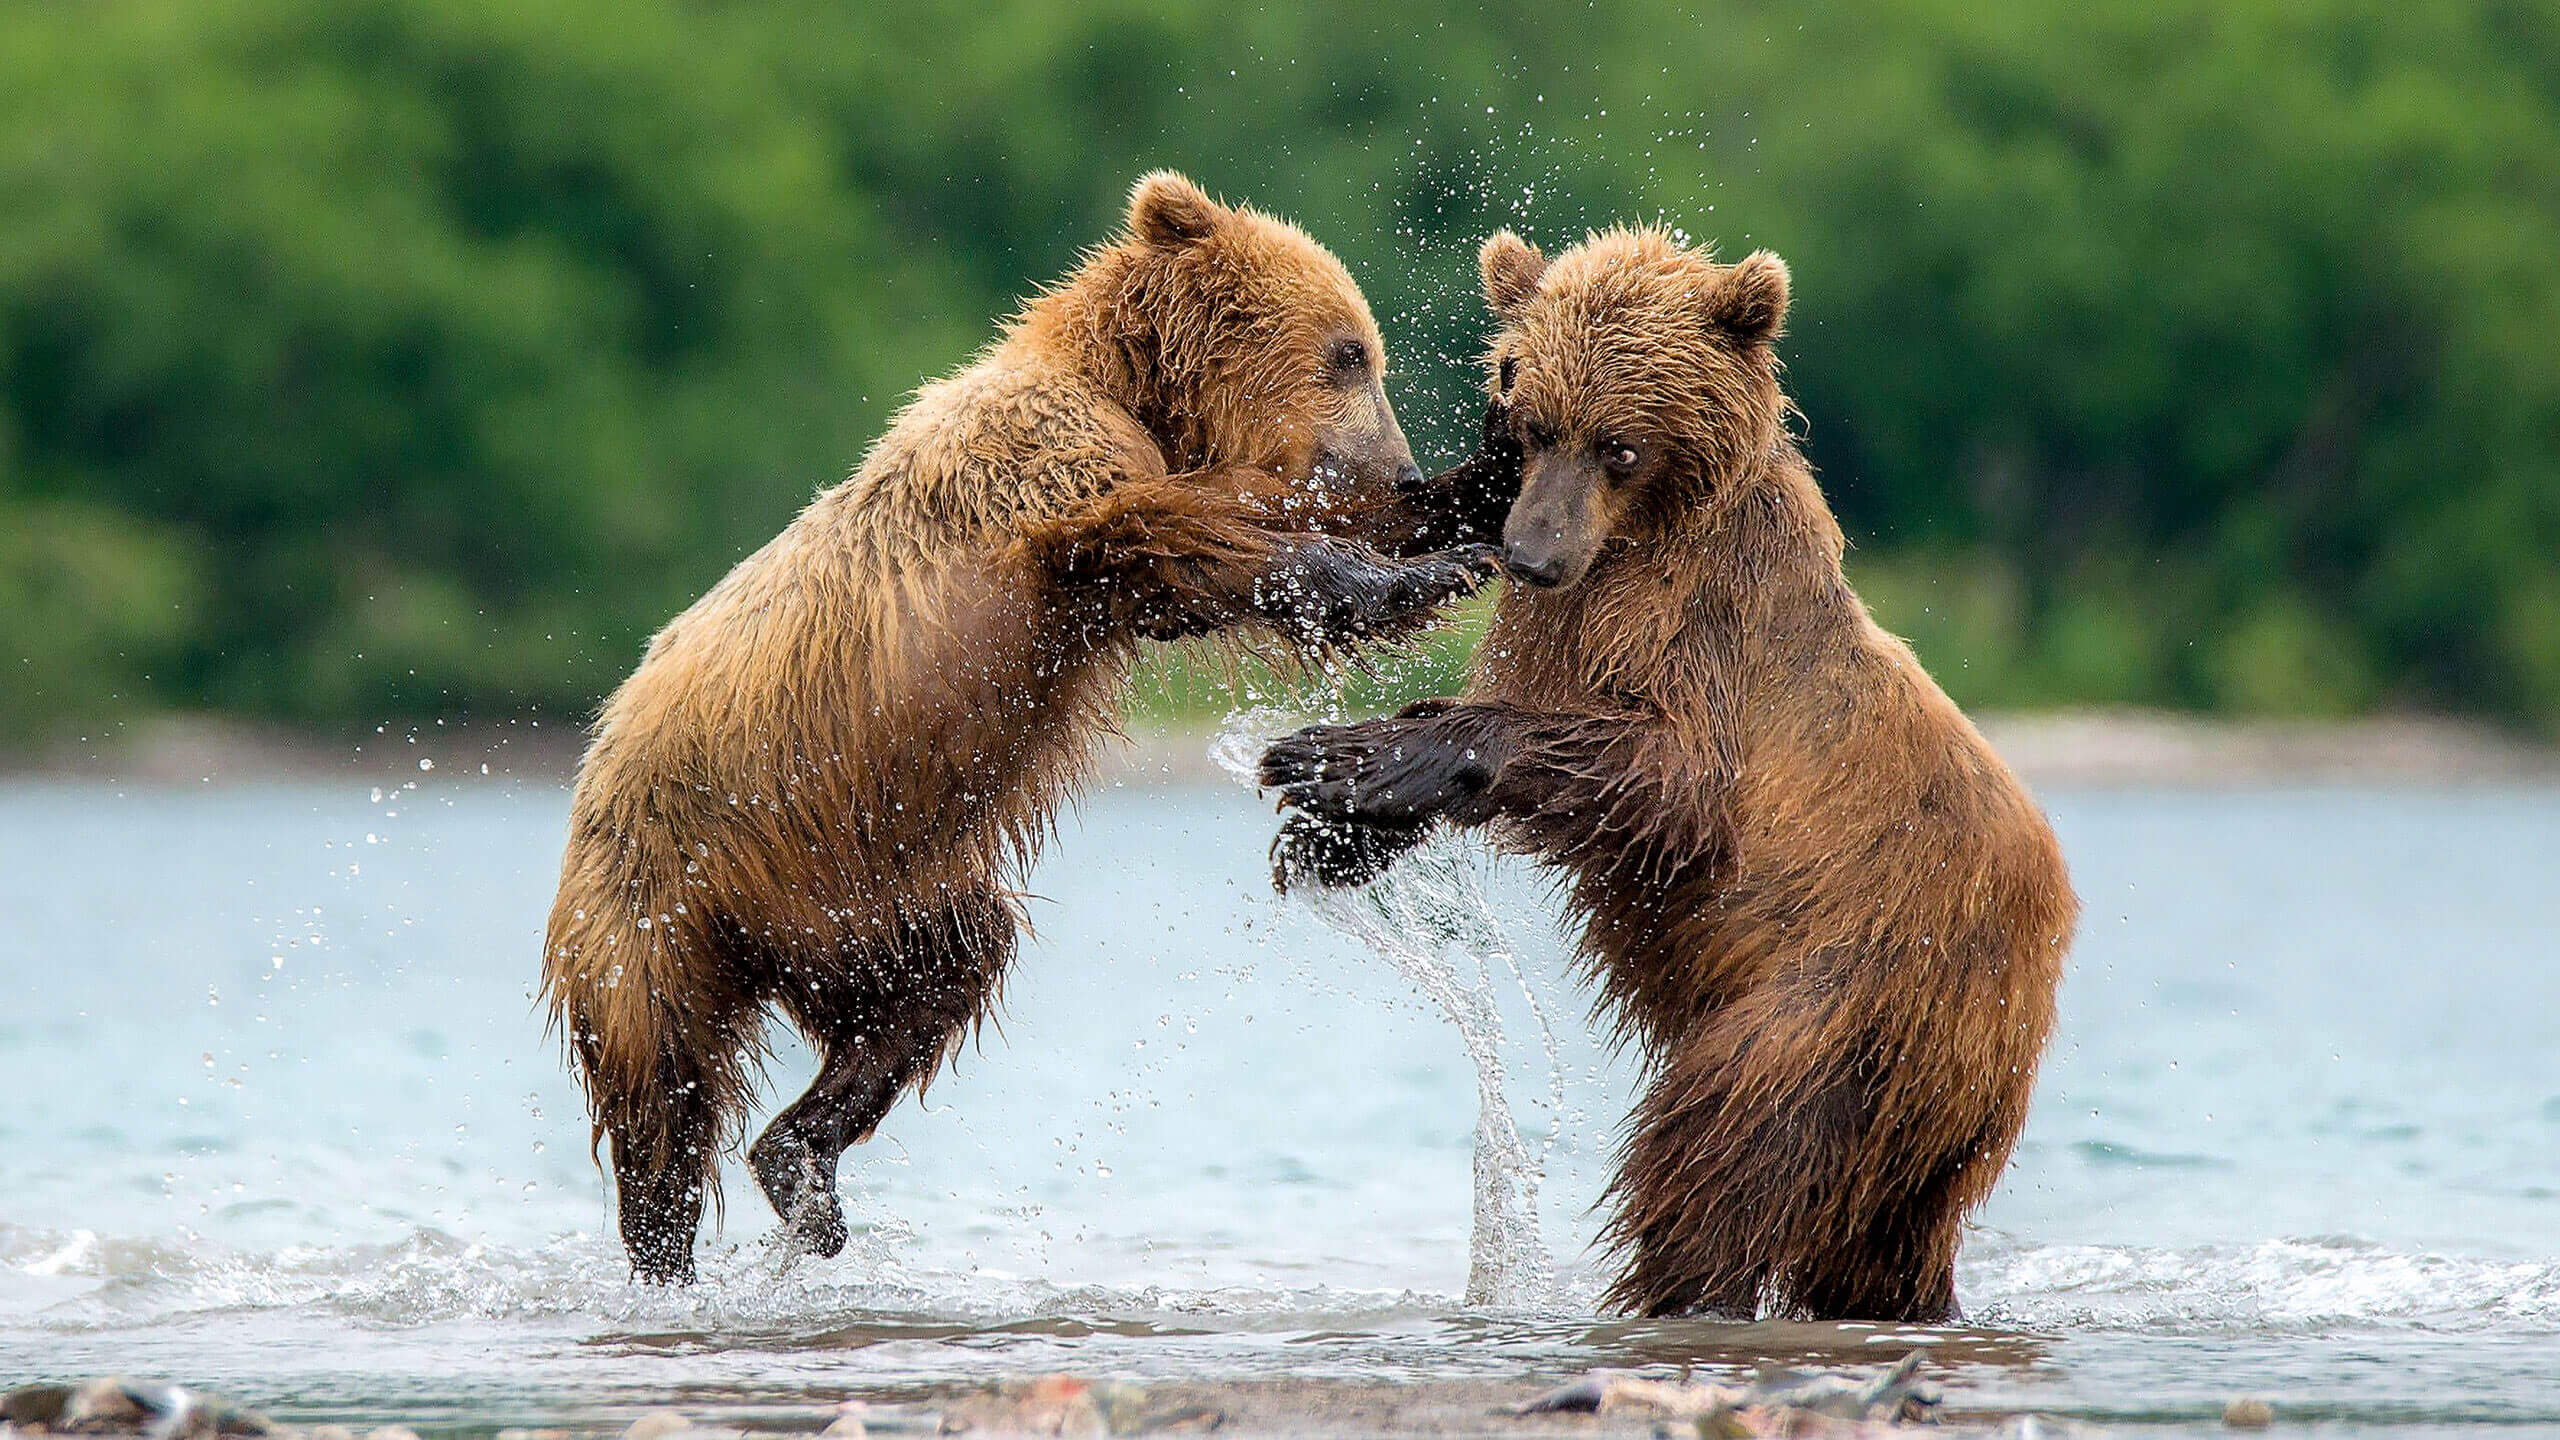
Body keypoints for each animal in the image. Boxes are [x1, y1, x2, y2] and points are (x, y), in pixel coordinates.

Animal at [543, 171, 1499, 1284]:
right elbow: (1196, 542)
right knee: (662, 1087)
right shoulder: (1048, 479)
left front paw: (1474, 498)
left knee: (937, 983)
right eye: (1350, 351)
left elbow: (1263, 529)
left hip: (879, 895)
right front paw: (1415, 575)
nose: (1397, 467)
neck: (1133, 391)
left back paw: (803, 1166)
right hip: (657, 906)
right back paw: (669, 1246)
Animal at [1259, 226, 2078, 1322]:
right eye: (1533, 421)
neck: (1634, 539)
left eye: (1620, 444)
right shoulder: (1555, 626)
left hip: (1846, 993)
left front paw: (1346, 754)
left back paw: (1680, 1285)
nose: (1531, 553)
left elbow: (1661, 779)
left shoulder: (1695, 625)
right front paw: (1331, 829)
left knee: (1717, 1157)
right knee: (1880, 1246)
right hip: (1926, 1113)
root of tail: (2042, 949)